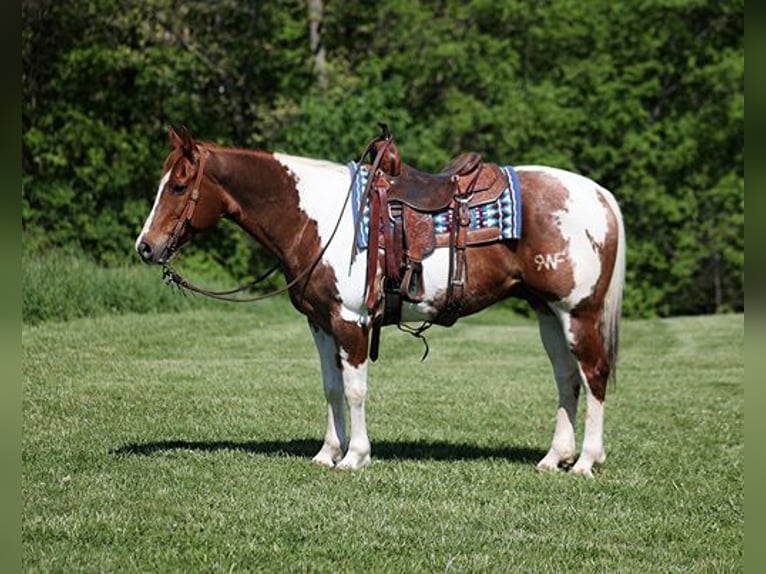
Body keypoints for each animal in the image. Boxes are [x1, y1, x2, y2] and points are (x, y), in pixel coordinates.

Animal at [135, 126, 626, 477]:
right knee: (566, 379)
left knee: (594, 376)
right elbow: (331, 387)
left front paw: (355, 456)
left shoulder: (351, 320)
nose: (145, 247)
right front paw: (327, 453)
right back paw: (554, 458)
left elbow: (355, 389)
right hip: (549, 313)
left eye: (177, 186)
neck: (316, 218)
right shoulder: (320, 323)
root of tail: (600, 195)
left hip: (578, 313)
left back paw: (586, 461)